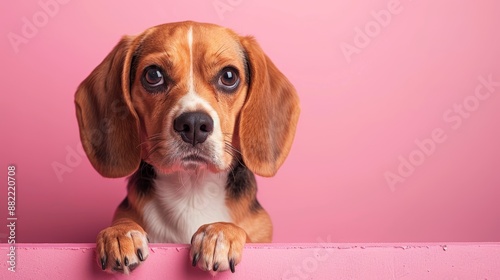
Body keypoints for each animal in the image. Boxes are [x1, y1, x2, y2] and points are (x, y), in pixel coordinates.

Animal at [74, 20, 300, 274]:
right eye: (153, 74)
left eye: (229, 76)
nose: (193, 124)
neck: (192, 189)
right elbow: (123, 224)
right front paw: (120, 233)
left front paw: (220, 233)